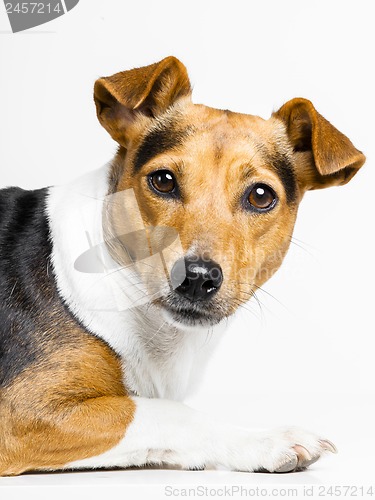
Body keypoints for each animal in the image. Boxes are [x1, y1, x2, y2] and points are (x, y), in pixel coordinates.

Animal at [0, 56, 364, 474]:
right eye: (163, 180)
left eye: (261, 196)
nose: (197, 278)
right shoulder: (21, 412)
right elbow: (167, 412)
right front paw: (263, 440)